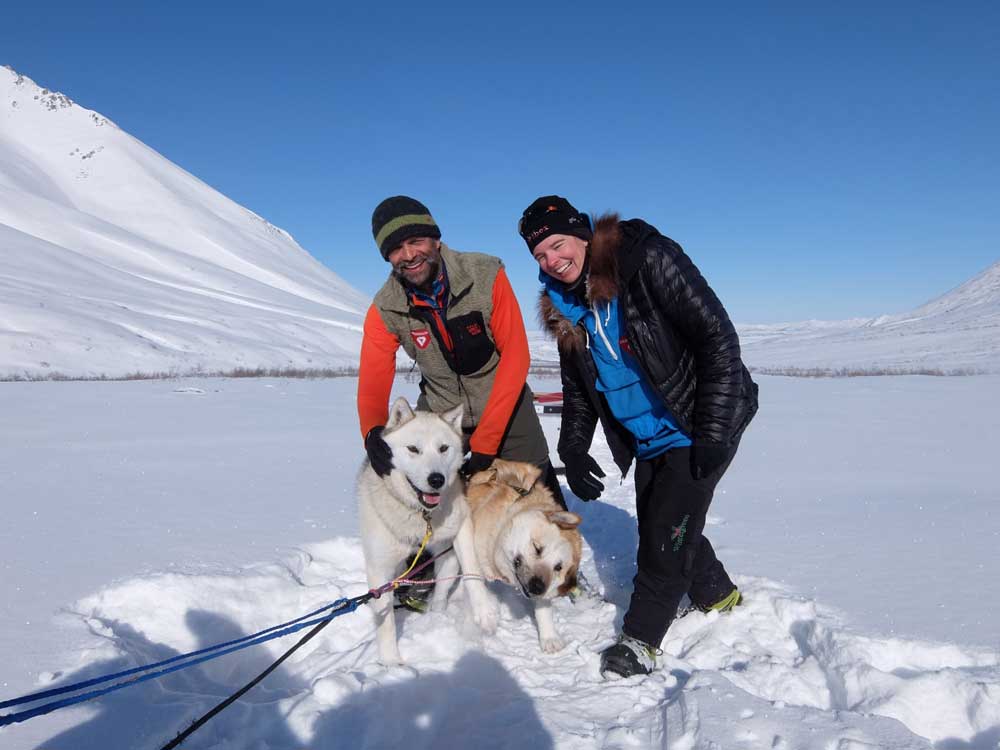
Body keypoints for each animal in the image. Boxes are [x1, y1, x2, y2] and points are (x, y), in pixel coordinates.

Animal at [360, 396, 500, 668]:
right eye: (413, 449)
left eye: (444, 448)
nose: (437, 479)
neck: (420, 516)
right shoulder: (379, 568)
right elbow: (385, 619)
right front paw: (391, 662)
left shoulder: (461, 525)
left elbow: (472, 571)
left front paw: (484, 611)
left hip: (447, 560)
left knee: (441, 592)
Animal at [464, 458, 584, 652]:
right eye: (537, 548)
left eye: (558, 567)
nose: (538, 586)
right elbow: (471, 573)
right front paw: (484, 611)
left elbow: (543, 607)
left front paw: (548, 635)